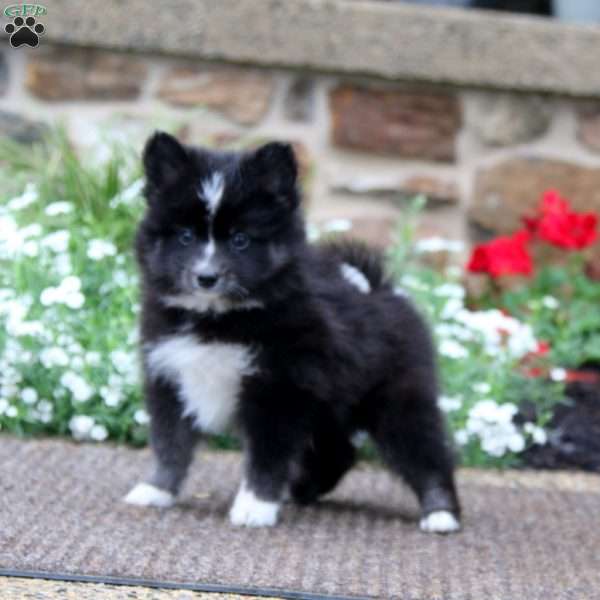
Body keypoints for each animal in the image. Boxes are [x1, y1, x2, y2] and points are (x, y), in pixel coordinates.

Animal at [123, 134, 460, 532]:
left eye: (240, 240)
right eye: (186, 236)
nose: (206, 277)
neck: (218, 319)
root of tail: (382, 291)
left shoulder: (278, 389)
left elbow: (266, 455)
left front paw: (255, 506)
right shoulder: (170, 376)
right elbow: (169, 442)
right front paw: (156, 489)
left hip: (396, 399)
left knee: (425, 452)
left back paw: (441, 513)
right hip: (331, 405)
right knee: (338, 451)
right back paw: (301, 490)